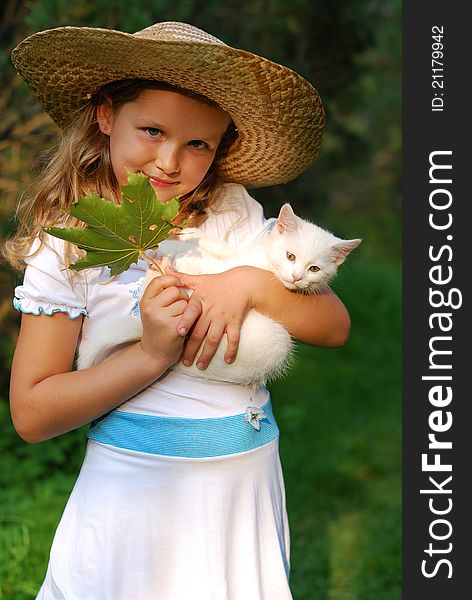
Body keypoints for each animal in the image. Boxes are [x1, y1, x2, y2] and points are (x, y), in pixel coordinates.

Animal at [76, 204, 362, 386]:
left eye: (314, 269)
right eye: (290, 256)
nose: (296, 276)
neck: (266, 262)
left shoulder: (234, 270)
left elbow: (215, 267)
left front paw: (174, 249)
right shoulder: (240, 255)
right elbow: (222, 249)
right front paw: (189, 236)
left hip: (275, 339)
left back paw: (163, 269)